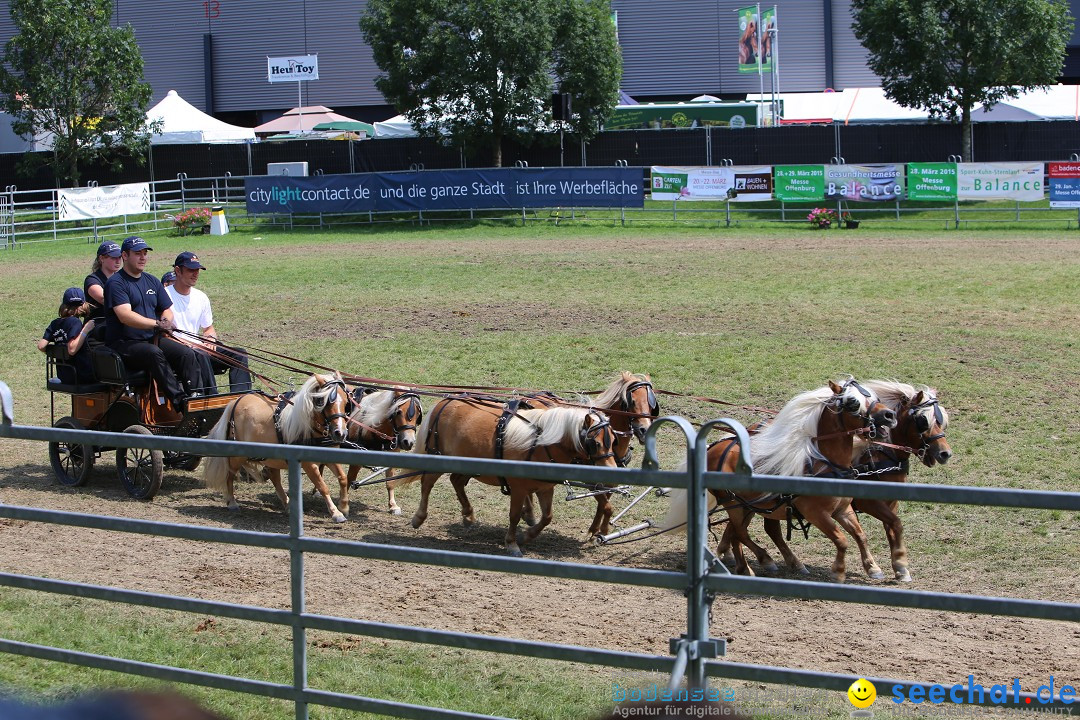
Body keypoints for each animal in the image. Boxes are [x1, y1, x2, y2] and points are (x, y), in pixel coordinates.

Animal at [201, 375, 349, 520]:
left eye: (346, 402)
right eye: (322, 401)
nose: (340, 433)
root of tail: (235, 401)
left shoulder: (329, 457)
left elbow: (343, 478)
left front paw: (344, 506)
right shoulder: (309, 464)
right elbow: (322, 486)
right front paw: (336, 513)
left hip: (272, 457)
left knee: (275, 478)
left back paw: (288, 505)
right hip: (237, 456)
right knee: (230, 475)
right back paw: (231, 502)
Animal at [397, 399, 617, 557]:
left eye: (614, 440)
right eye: (595, 443)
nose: (613, 473)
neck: (541, 442)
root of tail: (444, 402)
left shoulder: (545, 488)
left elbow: (547, 517)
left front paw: (526, 536)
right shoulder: (519, 488)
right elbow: (514, 515)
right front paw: (512, 544)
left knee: (456, 481)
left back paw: (468, 514)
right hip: (439, 458)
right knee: (427, 484)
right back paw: (419, 517)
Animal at [660, 379, 898, 582]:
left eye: (874, 396)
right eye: (852, 403)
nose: (889, 415)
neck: (827, 463)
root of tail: (714, 448)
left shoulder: (843, 510)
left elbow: (860, 535)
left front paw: (873, 567)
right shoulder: (817, 514)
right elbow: (842, 540)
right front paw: (838, 571)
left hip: (748, 505)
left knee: (736, 533)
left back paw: (747, 566)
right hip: (733, 502)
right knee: (740, 532)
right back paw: (764, 560)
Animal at [717, 379, 954, 582]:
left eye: (941, 421)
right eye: (922, 420)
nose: (945, 453)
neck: (878, 454)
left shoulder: (889, 501)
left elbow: (892, 527)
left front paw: (896, 566)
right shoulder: (868, 502)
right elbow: (893, 524)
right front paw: (898, 566)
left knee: (754, 528)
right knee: (745, 528)